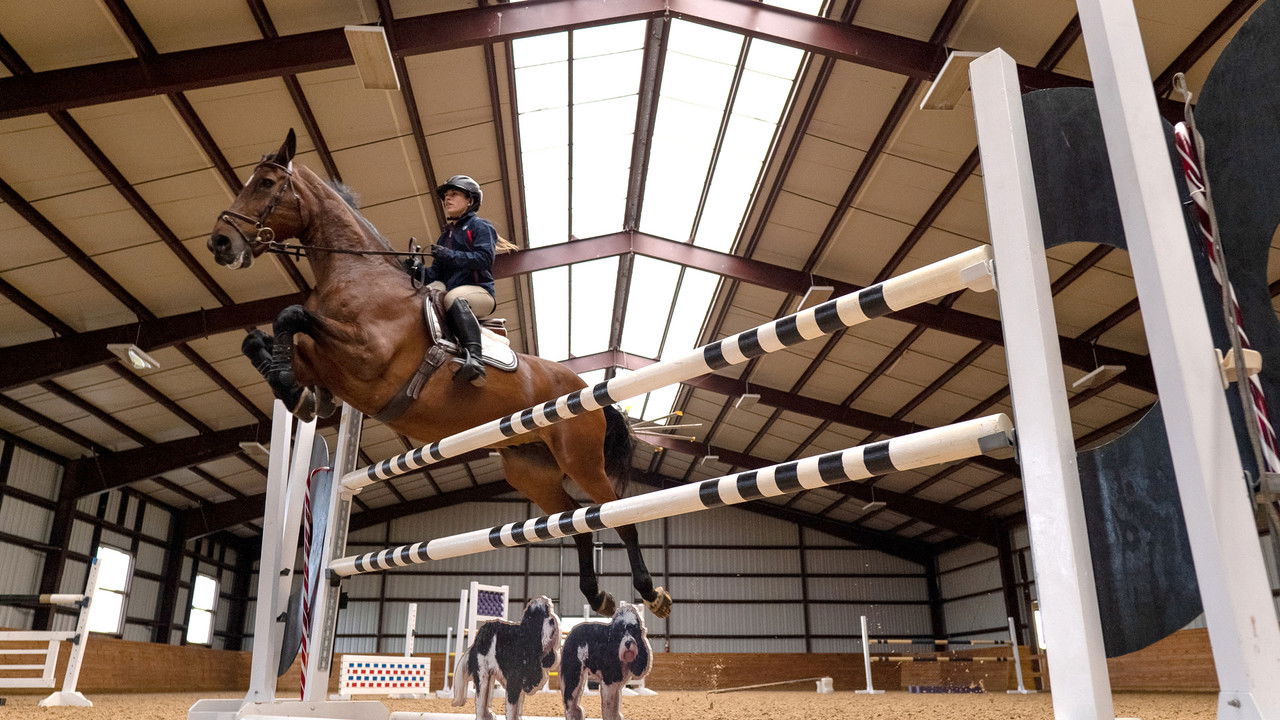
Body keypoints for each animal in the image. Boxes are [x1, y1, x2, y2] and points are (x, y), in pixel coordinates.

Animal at [207, 129, 671, 619]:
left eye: (266, 183)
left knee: (615, 512)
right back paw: (597, 595)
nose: (220, 243)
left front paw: (292, 383)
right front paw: (293, 388)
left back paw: (651, 593)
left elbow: (291, 314)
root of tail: (584, 388)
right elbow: (265, 340)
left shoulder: (367, 355)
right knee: (573, 520)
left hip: (579, 458)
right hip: (532, 471)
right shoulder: (329, 362)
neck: (355, 272)